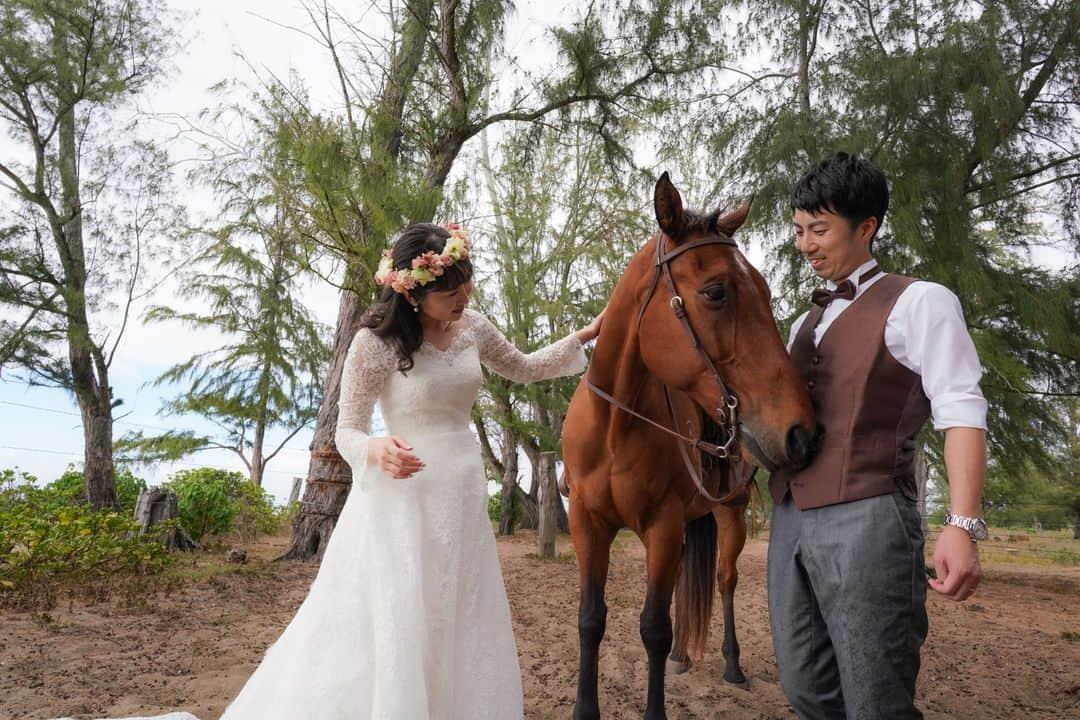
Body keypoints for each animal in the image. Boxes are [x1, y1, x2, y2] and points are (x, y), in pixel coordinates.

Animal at [561, 171, 812, 716]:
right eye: (716, 292)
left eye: (765, 291)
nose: (801, 430)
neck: (614, 427)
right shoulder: (587, 524)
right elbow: (590, 619)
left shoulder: (662, 525)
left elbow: (653, 628)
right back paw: (680, 657)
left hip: (728, 515)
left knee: (724, 580)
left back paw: (732, 664)